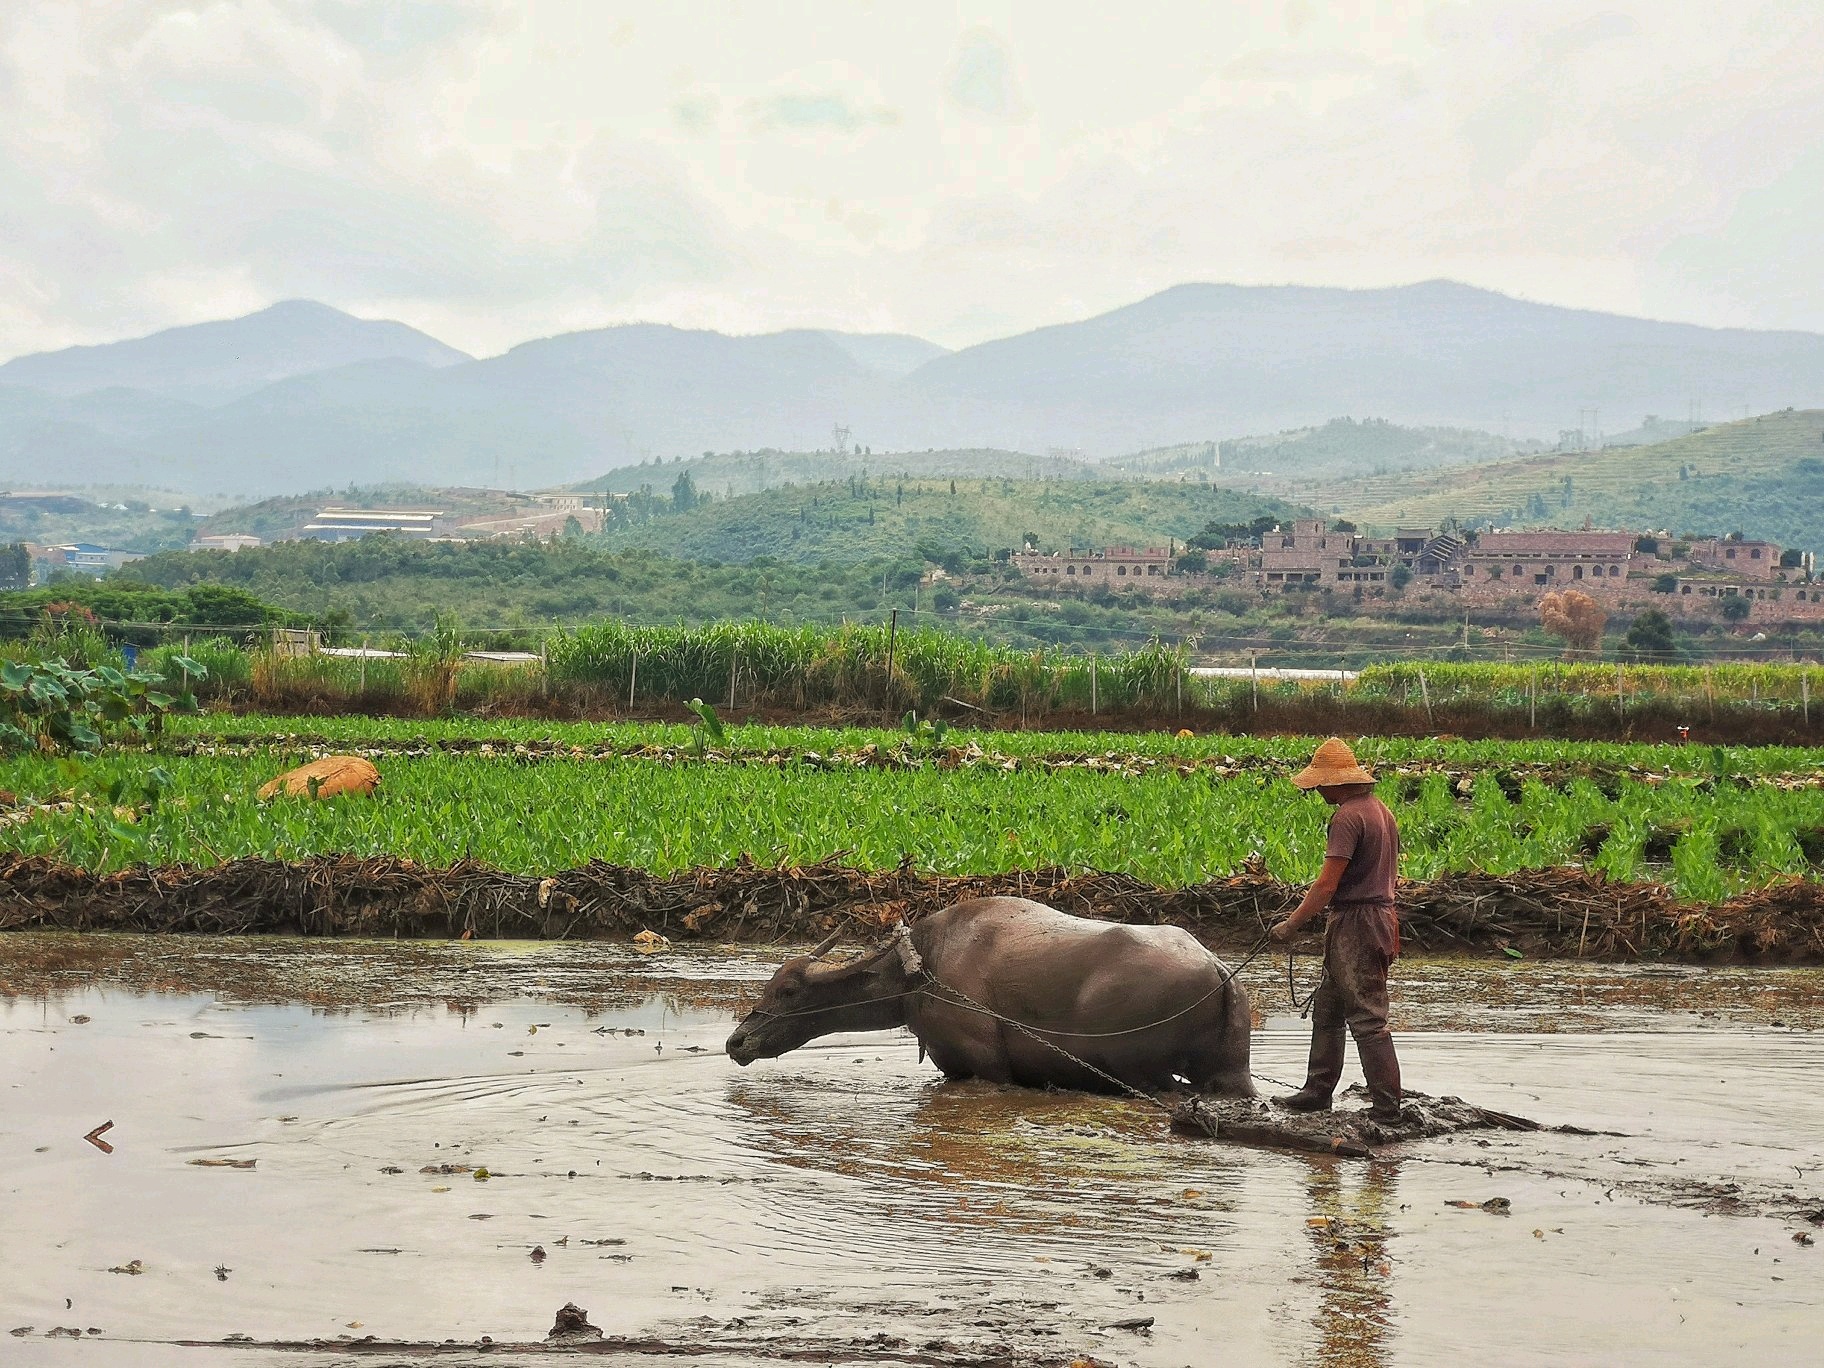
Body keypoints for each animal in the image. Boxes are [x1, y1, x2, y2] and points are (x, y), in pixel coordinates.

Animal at [722, 901, 1254, 1101]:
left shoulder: (987, 1068)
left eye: (787, 990)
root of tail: (1217, 969)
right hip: (1230, 1073)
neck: (921, 970)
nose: (736, 1041)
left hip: (1145, 1075)